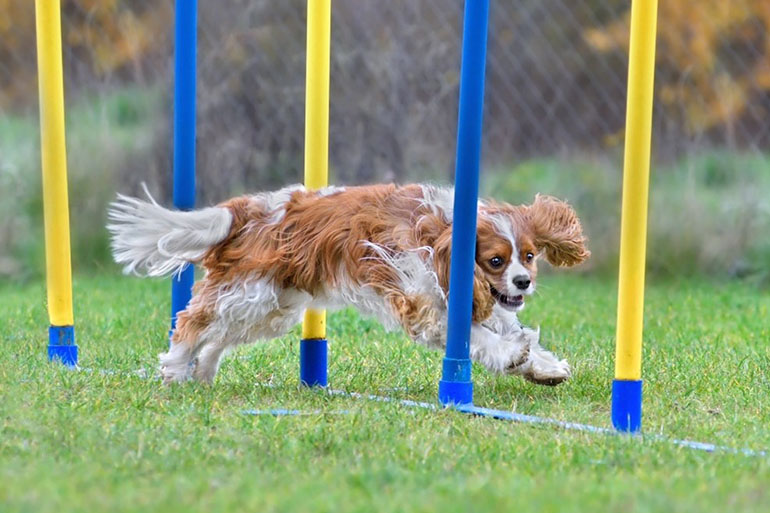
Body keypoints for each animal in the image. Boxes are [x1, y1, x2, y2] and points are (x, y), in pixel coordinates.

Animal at [108, 184, 588, 384]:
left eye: (529, 256)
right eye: (495, 260)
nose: (523, 283)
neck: (442, 233)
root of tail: (250, 208)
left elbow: (510, 329)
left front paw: (542, 367)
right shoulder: (425, 306)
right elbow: (479, 337)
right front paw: (512, 356)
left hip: (273, 307)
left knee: (218, 336)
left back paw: (203, 374)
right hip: (250, 293)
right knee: (193, 322)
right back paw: (176, 370)